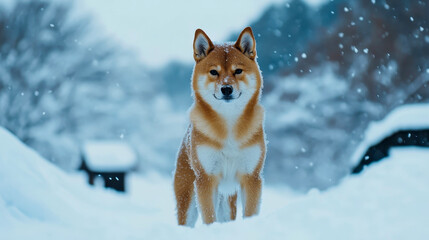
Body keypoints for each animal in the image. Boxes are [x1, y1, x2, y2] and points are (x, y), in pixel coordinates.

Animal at [173, 27, 264, 226]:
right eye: (214, 72)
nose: (226, 89)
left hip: (228, 200)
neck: (228, 123)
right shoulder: (206, 179)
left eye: (238, 71)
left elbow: (250, 213)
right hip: (188, 197)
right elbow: (209, 217)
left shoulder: (251, 177)